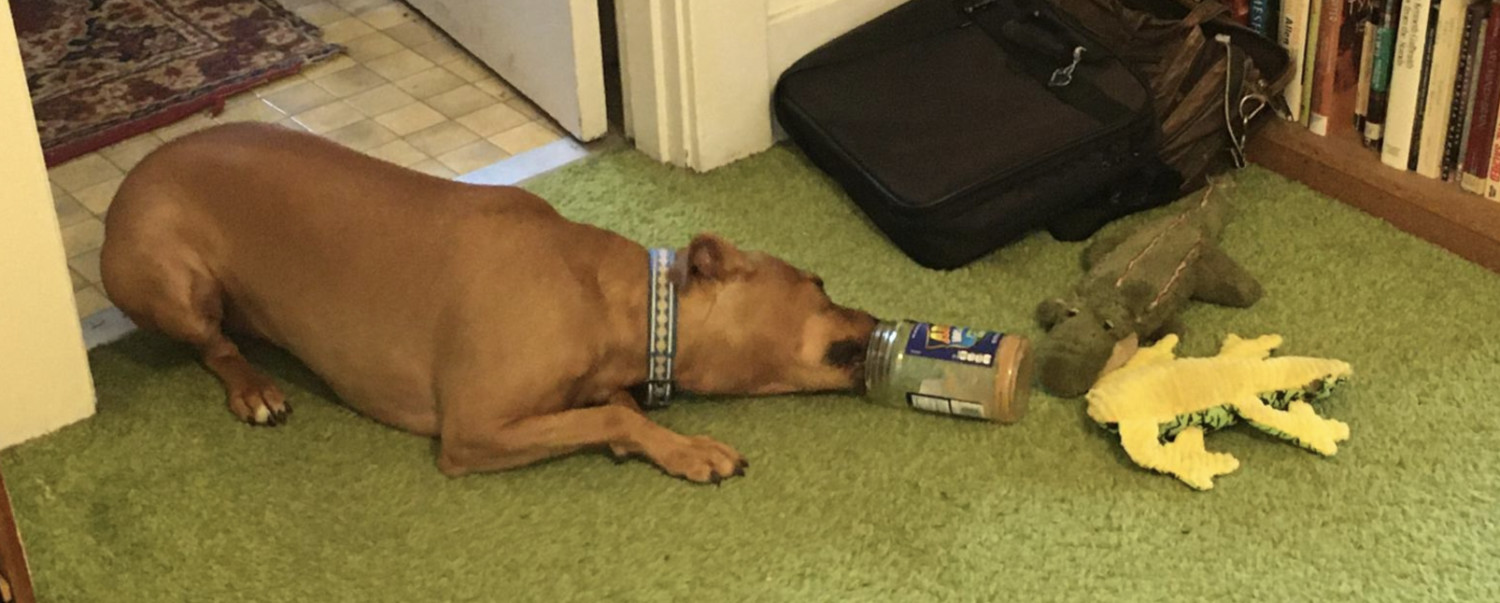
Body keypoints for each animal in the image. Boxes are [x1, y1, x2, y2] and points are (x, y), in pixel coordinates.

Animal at [99, 121, 876, 480]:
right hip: (170, 281)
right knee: (214, 343)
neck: (617, 303)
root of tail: (126, 186)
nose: (874, 318)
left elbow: (614, 408)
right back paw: (253, 387)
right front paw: (685, 448)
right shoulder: (472, 430)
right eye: (818, 284)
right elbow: (611, 417)